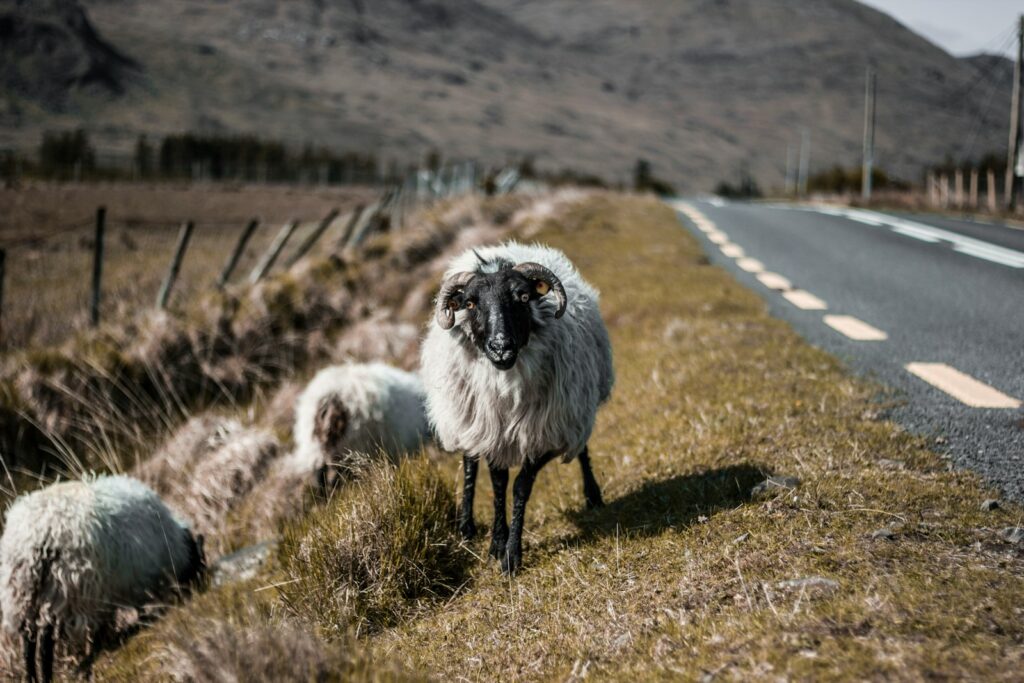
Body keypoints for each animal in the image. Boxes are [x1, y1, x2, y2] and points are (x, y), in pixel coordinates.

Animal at [0, 475, 205, 682]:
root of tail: (35, 537)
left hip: (22, 594)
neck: (173, 546)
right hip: (63, 587)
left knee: (28, 640)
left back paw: (31, 676)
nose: (200, 589)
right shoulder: (130, 582)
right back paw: (48, 675)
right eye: (199, 561)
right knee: (45, 640)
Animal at [420, 241, 614, 574]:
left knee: (582, 448)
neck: (507, 384)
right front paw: (497, 543)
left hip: (576, 408)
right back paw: (466, 527)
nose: (501, 348)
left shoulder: (547, 431)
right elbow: (498, 484)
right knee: (469, 463)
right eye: (470, 303)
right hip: (467, 417)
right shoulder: (491, 430)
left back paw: (593, 496)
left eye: (523, 297)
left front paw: (511, 554)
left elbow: (521, 486)